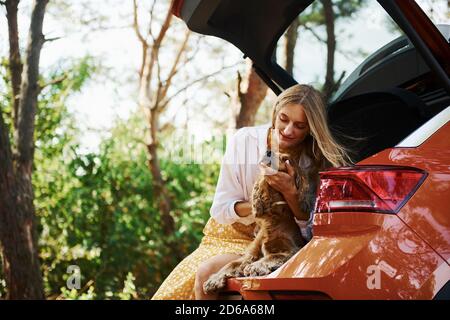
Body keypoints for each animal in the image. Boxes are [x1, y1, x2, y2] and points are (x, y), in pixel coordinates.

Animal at [203, 150, 306, 296]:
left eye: (284, 158)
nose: (268, 151)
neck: (272, 219)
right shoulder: (251, 254)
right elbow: (231, 264)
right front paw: (214, 280)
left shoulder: (291, 250)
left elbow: (272, 256)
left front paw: (254, 267)